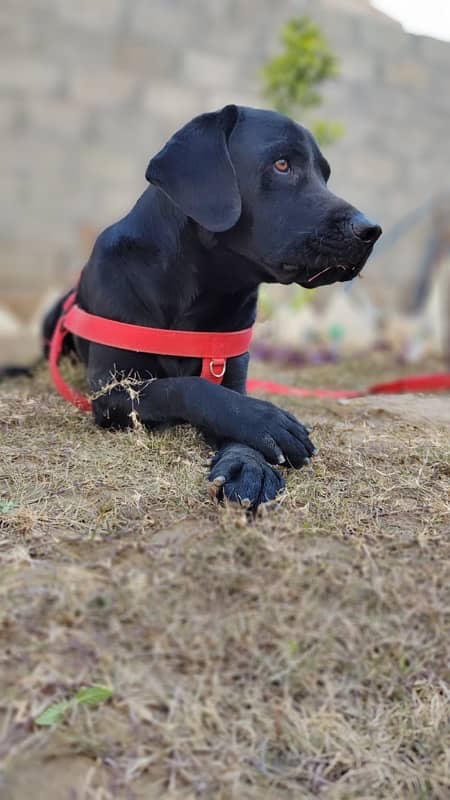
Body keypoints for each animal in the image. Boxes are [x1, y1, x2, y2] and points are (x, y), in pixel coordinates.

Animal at [41, 104, 380, 506]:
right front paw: (265, 419)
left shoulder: (232, 373)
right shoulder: (111, 391)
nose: (371, 230)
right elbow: (185, 387)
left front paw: (247, 466)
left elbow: (230, 409)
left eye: (324, 175)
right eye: (282, 165)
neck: (201, 290)